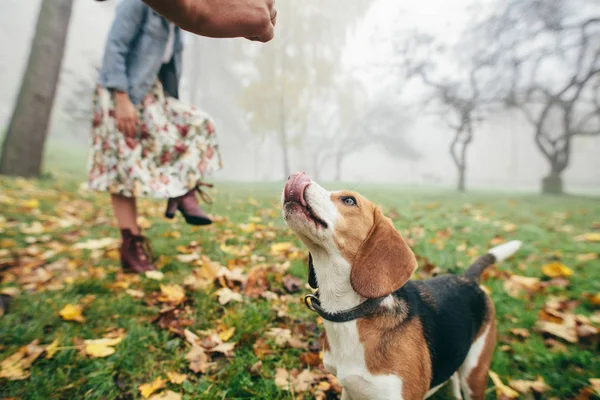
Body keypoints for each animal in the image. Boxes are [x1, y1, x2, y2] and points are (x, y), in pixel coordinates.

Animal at [282, 172, 520, 400]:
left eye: (349, 200)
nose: (295, 177)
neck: (351, 313)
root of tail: (469, 279)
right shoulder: (349, 391)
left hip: (475, 373)